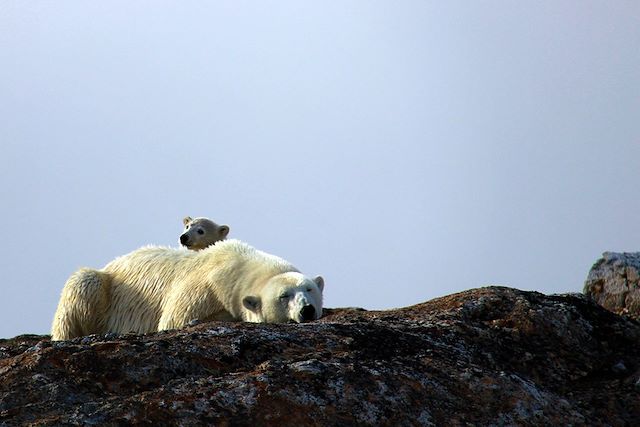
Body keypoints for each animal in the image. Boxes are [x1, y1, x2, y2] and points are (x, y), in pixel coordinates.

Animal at [51, 241, 324, 342]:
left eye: (309, 288)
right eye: (284, 296)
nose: (307, 310)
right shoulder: (202, 288)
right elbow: (174, 320)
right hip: (101, 287)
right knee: (83, 284)